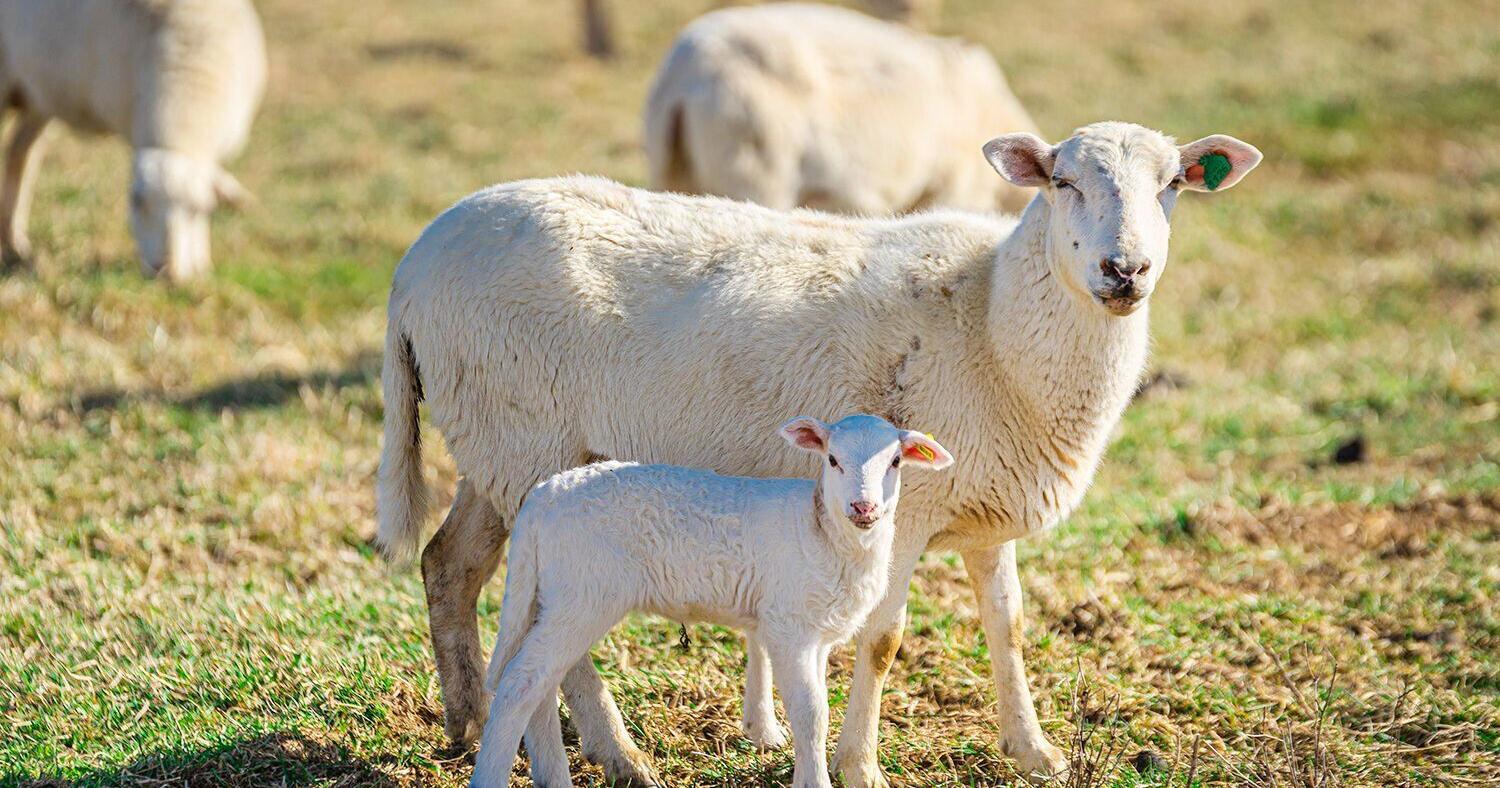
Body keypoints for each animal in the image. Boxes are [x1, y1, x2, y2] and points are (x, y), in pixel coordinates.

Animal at [0, 0, 266, 281]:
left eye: (200, 209)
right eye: (136, 200)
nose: (166, 273)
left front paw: (201, 265)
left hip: (40, 94)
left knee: (21, 152)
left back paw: (15, 245)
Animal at [469, 415, 954, 788]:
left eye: (895, 461)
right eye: (832, 460)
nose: (863, 507)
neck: (824, 531)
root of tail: (543, 495)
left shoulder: (815, 633)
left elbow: (812, 714)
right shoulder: (789, 626)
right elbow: (812, 713)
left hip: (553, 595)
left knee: (540, 683)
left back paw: (555, 777)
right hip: (582, 593)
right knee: (521, 682)